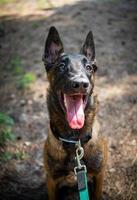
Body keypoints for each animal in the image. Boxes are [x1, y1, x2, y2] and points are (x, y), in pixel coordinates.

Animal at [42, 27, 107, 200]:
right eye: (61, 66)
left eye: (89, 68)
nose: (80, 84)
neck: (74, 139)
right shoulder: (51, 181)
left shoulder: (99, 176)